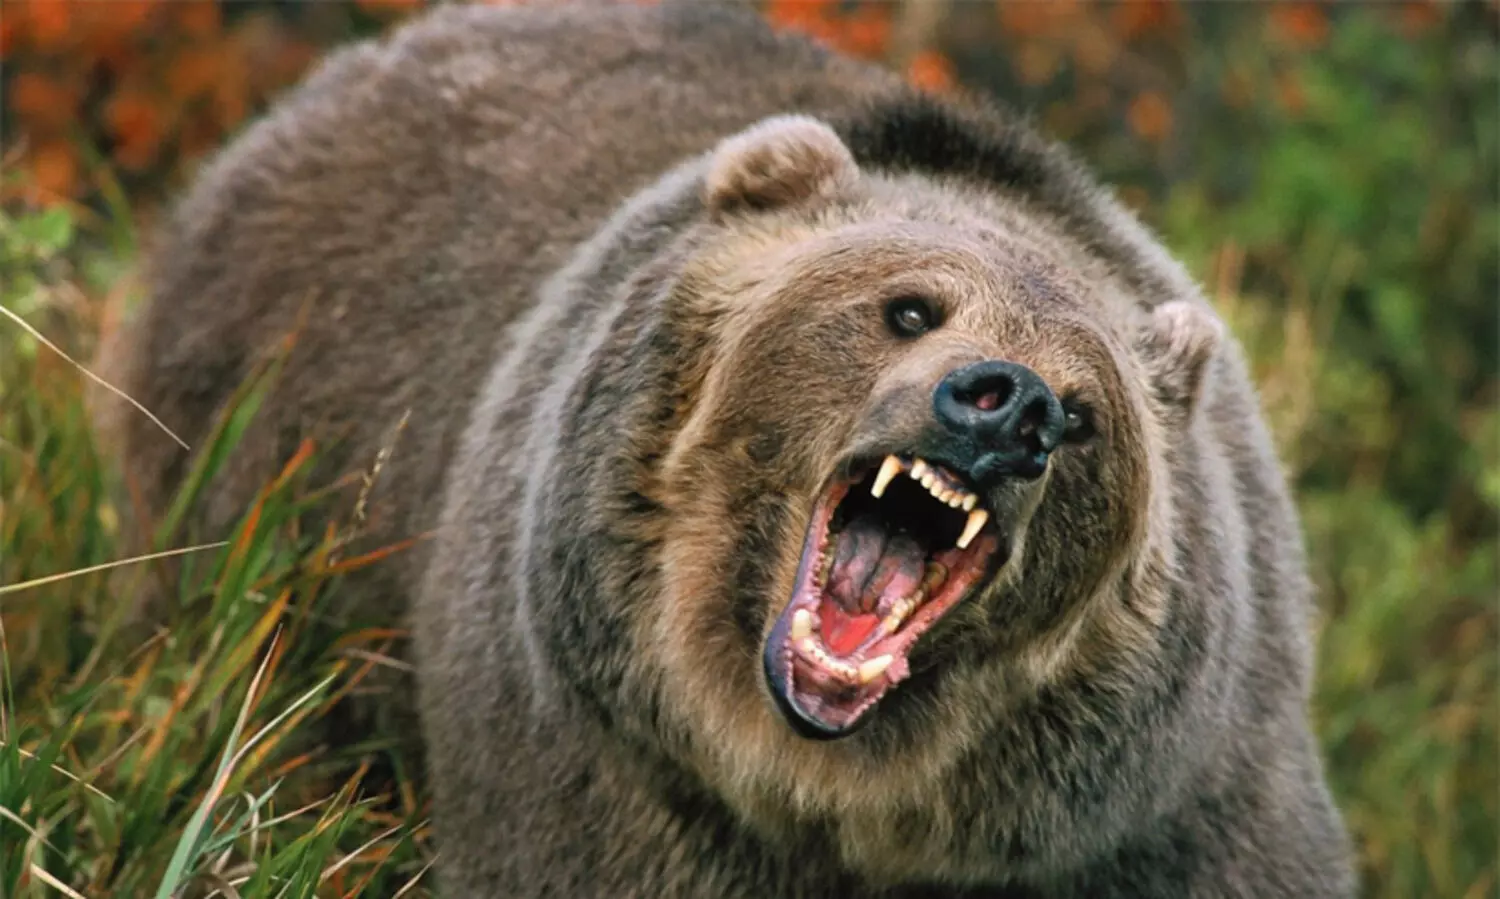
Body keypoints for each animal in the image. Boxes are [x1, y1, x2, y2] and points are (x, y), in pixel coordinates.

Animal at [99, 1, 1357, 896]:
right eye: (910, 306)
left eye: (1089, 413)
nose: (1010, 407)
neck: (834, 793)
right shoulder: (599, 760)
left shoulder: (1167, 808)